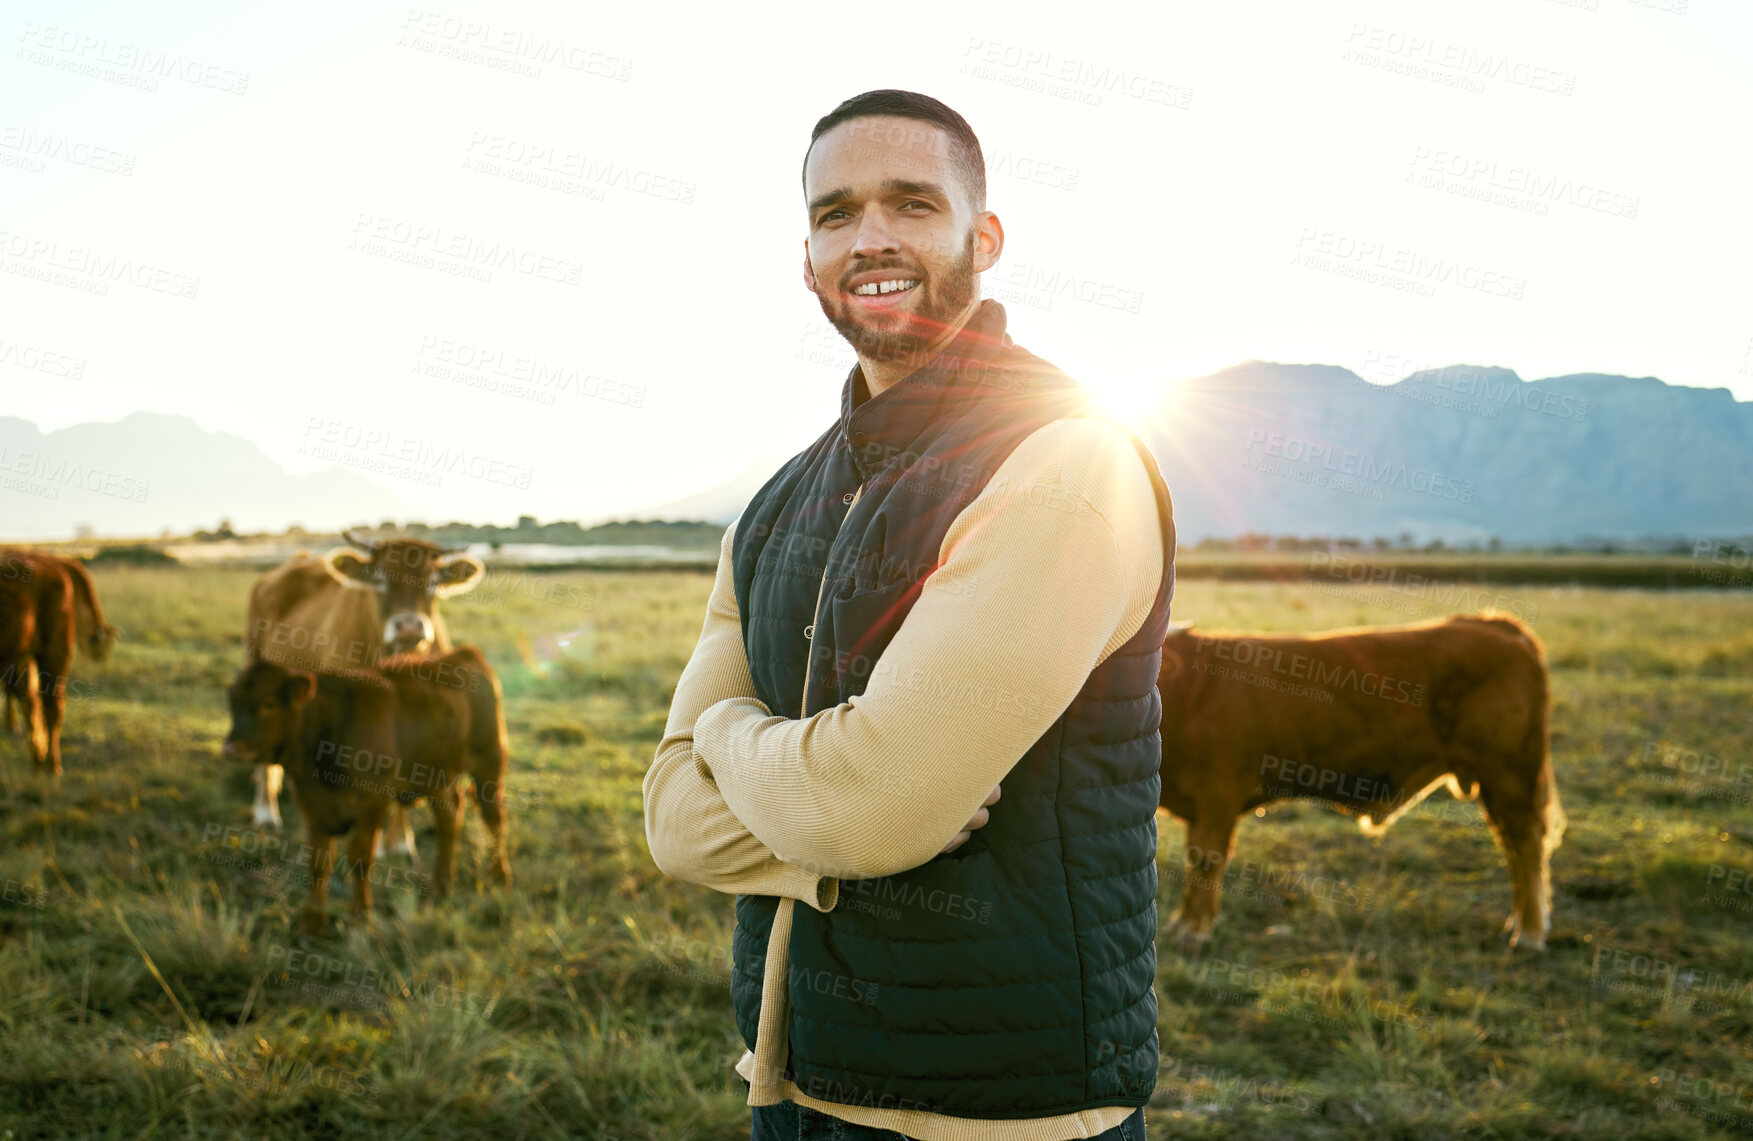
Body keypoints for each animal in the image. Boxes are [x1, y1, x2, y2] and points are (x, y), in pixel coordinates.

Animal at [219, 648, 511, 932]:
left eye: (268, 704)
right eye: (233, 703)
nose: (232, 748)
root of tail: (464, 653)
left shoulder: (374, 798)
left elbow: (359, 858)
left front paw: (359, 916)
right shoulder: (311, 803)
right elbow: (318, 863)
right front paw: (311, 922)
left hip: (489, 762)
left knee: (494, 818)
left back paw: (499, 875)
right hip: (437, 777)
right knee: (449, 819)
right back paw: (441, 888)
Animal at [243, 532, 483, 855]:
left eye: (432, 582)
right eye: (380, 579)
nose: (409, 627)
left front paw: (400, 842)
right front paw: (375, 844)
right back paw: (265, 812)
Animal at [1156, 609, 1570, 953]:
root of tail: (1490, 622)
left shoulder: (1217, 798)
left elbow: (1204, 862)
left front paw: (1193, 931)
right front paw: (1182, 924)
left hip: (1510, 773)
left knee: (1527, 846)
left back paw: (1530, 932)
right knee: (1514, 847)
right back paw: (1518, 923)